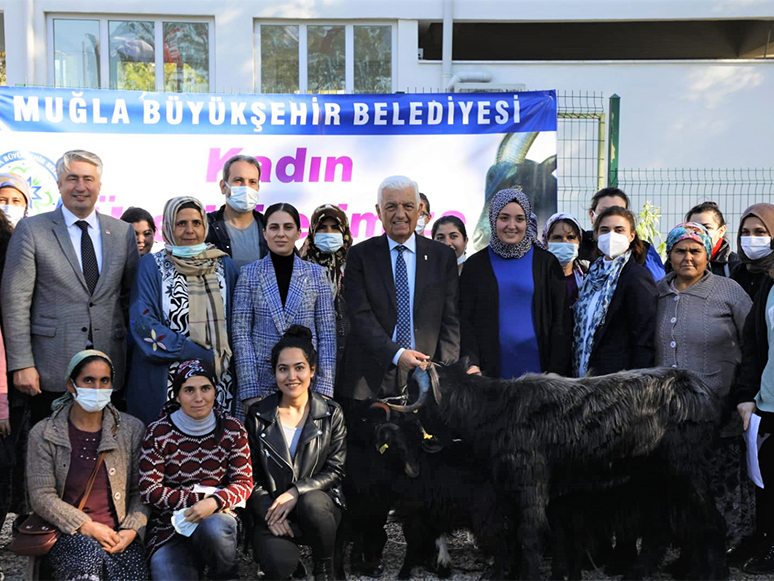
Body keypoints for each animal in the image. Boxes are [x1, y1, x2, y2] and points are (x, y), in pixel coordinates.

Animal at [392, 360, 732, 576]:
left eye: (414, 394)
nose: (408, 429)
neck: (495, 410)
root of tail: (705, 392)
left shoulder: (531, 483)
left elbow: (529, 536)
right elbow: (534, 536)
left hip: (686, 470)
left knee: (711, 523)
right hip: (654, 479)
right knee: (660, 531)